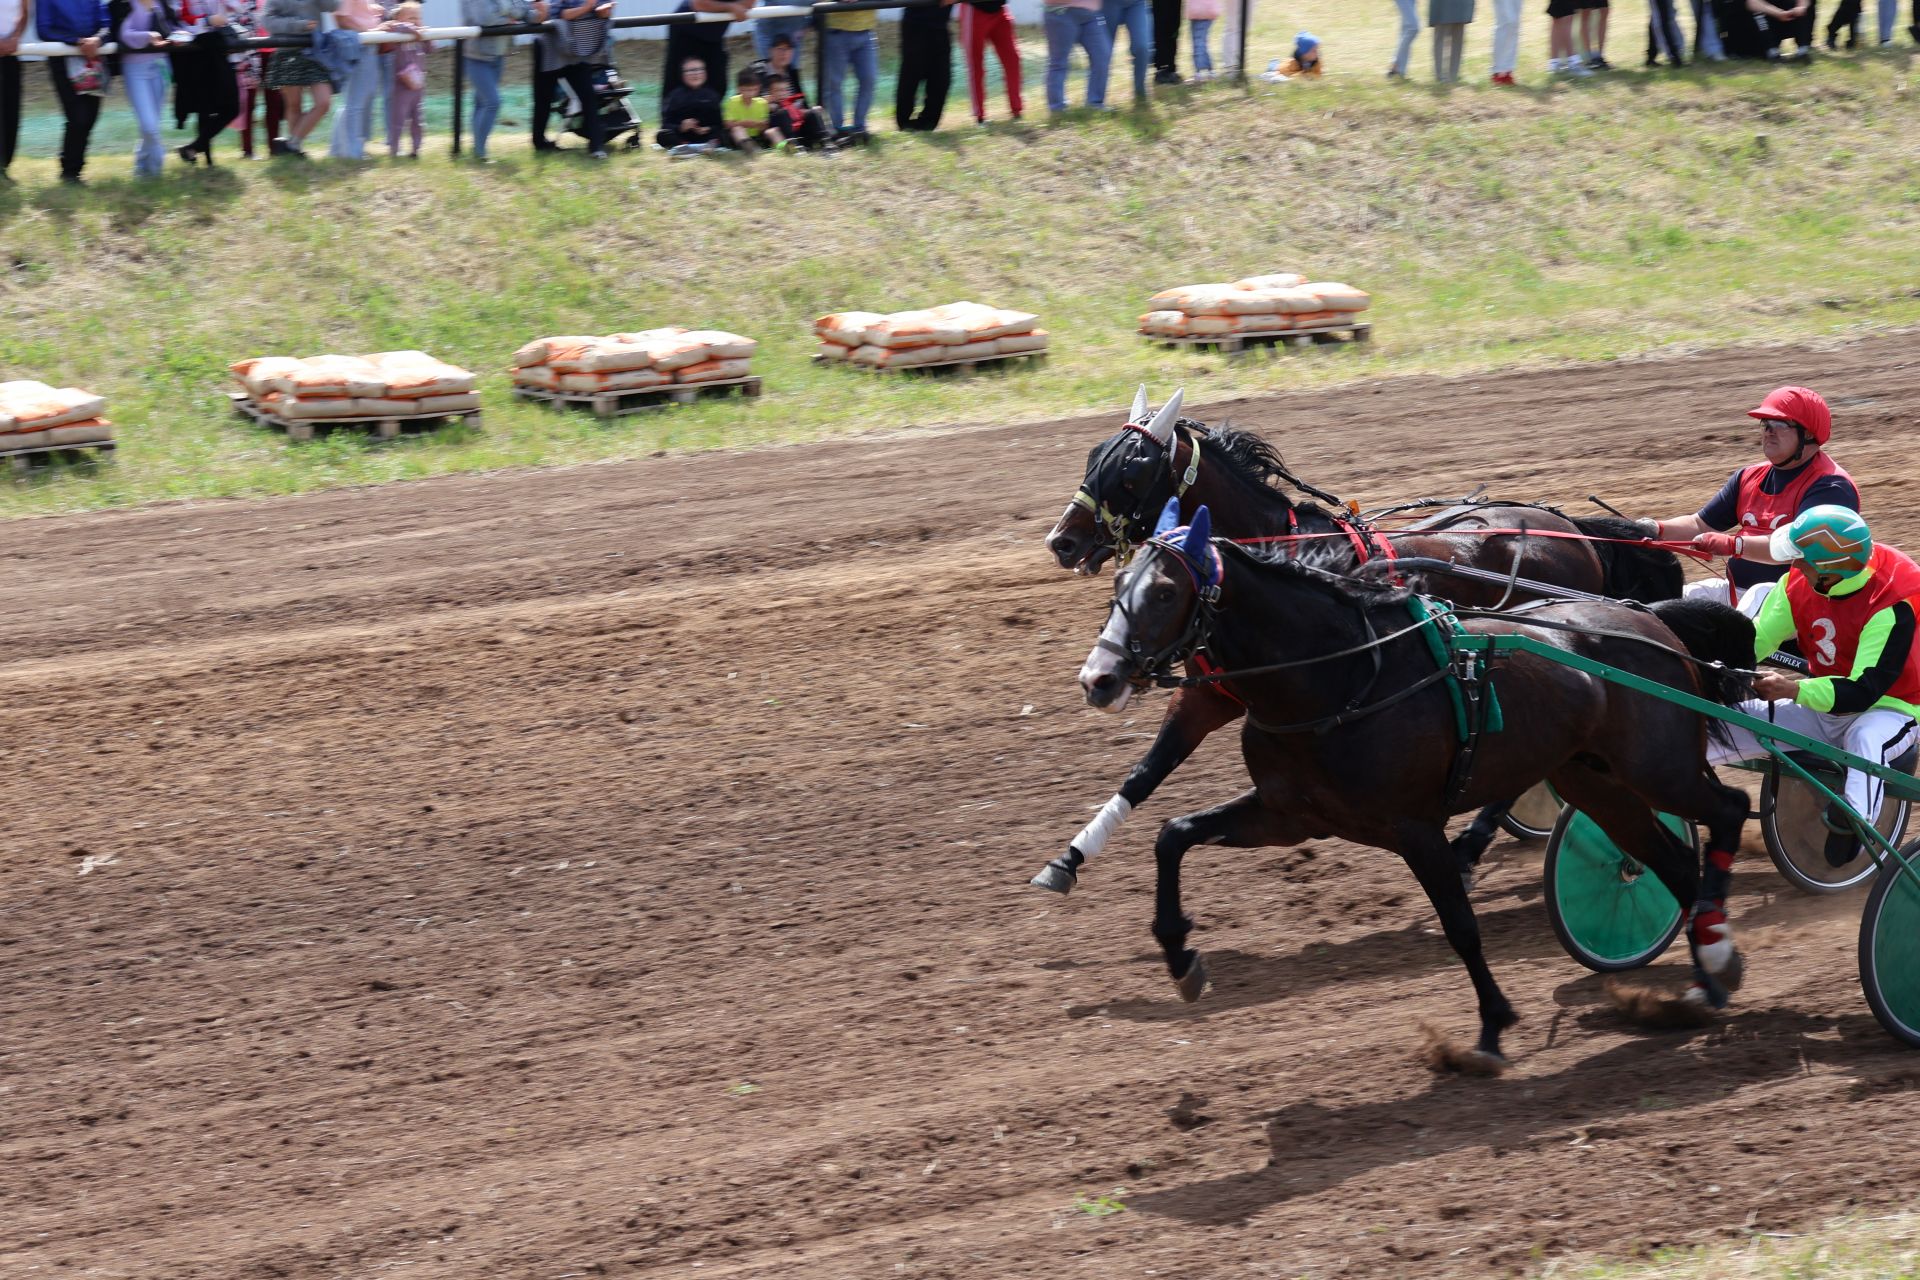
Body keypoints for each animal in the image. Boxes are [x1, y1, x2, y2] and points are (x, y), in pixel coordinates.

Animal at [1036, 385, 1681, 898]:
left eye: (1131, 469)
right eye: (1093, 457)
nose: (1062, 541)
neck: (1282, 553)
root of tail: (1574, 529)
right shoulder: (1209, 694)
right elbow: (1145, 772)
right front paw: (1067, 860)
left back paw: (1469, 849)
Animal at [1082, 506, 1758, 1066]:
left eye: (1164, 591)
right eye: (1119, 587)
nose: (1099, 678)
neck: (1342, 677)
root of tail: (1652, 622)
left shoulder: (1414, 826)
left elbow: (1460, 924)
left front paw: (1491, 1026)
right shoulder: (1288, 813)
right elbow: (1173, 835)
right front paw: (1180, 958)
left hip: (1658, 768)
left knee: (1729, 809)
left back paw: (1714, 951)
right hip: (1598, 783)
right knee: (1674, 863)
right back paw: (1709, 972)